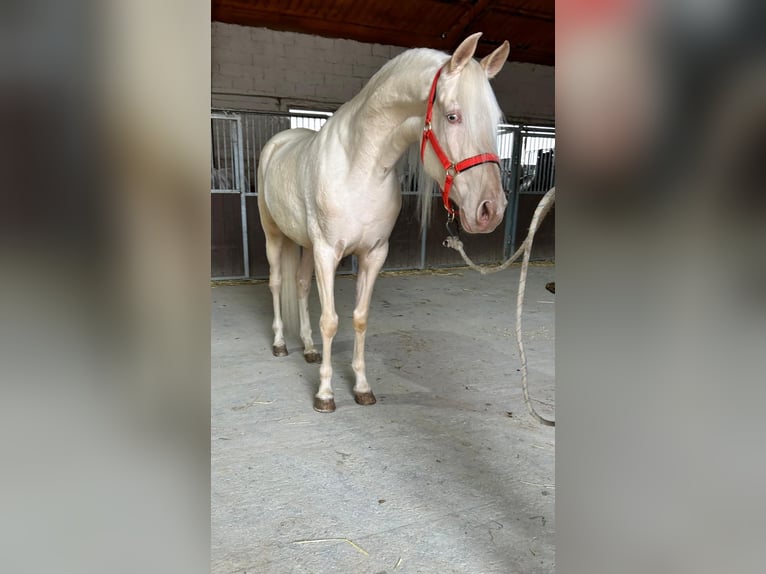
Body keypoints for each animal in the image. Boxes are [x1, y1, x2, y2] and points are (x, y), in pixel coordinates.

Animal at [260, 32, 512, 414]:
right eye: (453, 116)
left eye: (495, 120)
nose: (491, 210)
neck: (360, 167)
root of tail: (279, 142)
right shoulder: (326, 252)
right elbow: (330, 321)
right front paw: (325, 395)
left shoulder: (374, 254)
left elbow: (360, 318)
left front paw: (362, 388)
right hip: (274, 236)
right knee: (276, 284)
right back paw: (279, 344)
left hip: (303, 244)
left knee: (301, 287)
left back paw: (308, 349)